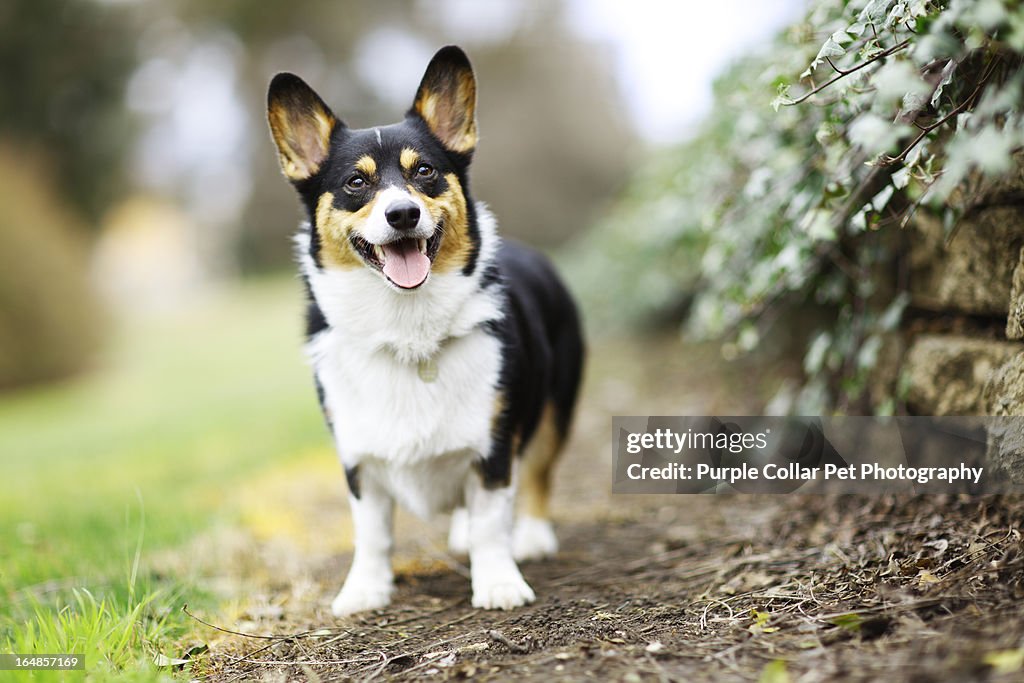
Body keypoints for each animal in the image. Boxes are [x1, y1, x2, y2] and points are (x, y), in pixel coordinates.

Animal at [266, 46, 585, 614]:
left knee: (538, 473)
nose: (403, 213)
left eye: (426, 172)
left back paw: (531, 535)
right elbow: (372, 534)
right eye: (356, 182)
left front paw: (499, 583)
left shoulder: (494, 444)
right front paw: (365, 590)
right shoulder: (358, 459)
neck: (405, 326)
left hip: (555, 409)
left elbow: (491, 521)